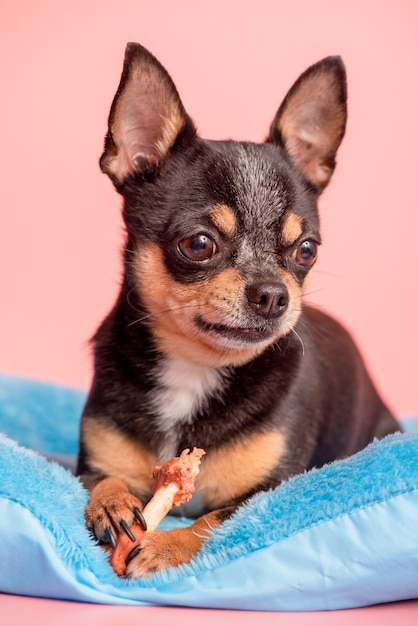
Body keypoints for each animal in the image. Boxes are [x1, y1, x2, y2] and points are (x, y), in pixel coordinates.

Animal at [76, 44, 400, 576]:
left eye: (307, 250)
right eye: (198, 244)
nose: (273, 294)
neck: (195, 368)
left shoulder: (272, 491)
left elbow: (215, 521)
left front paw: (165, 546)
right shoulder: (90, 463)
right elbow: (104, 480)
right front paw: (113, 504)